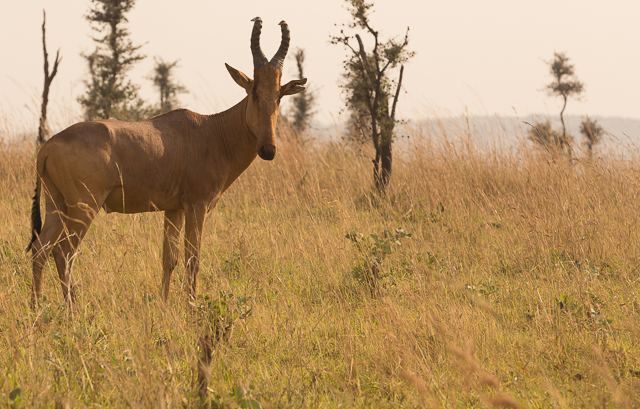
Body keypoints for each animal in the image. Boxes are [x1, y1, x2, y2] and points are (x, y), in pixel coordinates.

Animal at [28, 17, 308, 302]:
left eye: (279, 96)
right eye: (254, 93)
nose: (268, 149)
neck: (211, 131)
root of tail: (48, 146)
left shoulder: (174, 208)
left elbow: (169, 259)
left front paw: (164, 303)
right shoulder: (197, 205)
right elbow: (192, 258)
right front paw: (192, 304)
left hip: (56, 204)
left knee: (40, 249)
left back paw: (37, 305)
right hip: (84, 207)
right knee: (63, 251)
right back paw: (71, 307)